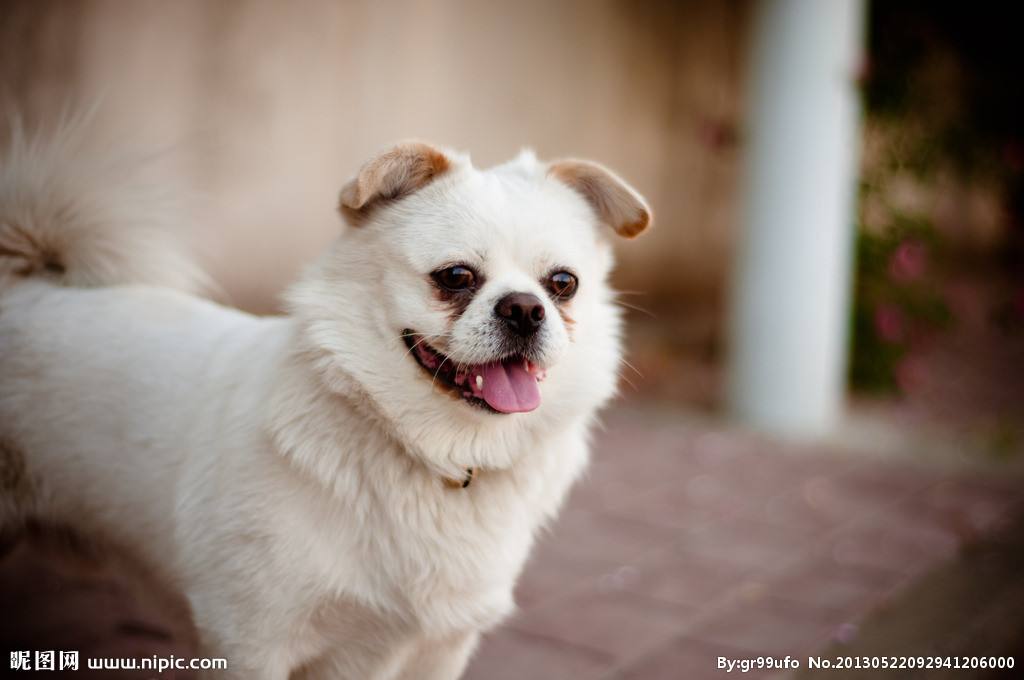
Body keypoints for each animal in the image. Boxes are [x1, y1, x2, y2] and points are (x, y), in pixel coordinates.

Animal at [0, 123, 651, 680]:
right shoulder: (248, 641)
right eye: (456, 277)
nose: (524, 308)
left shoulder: (435, 649)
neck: (438, 458)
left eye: (563, 283)